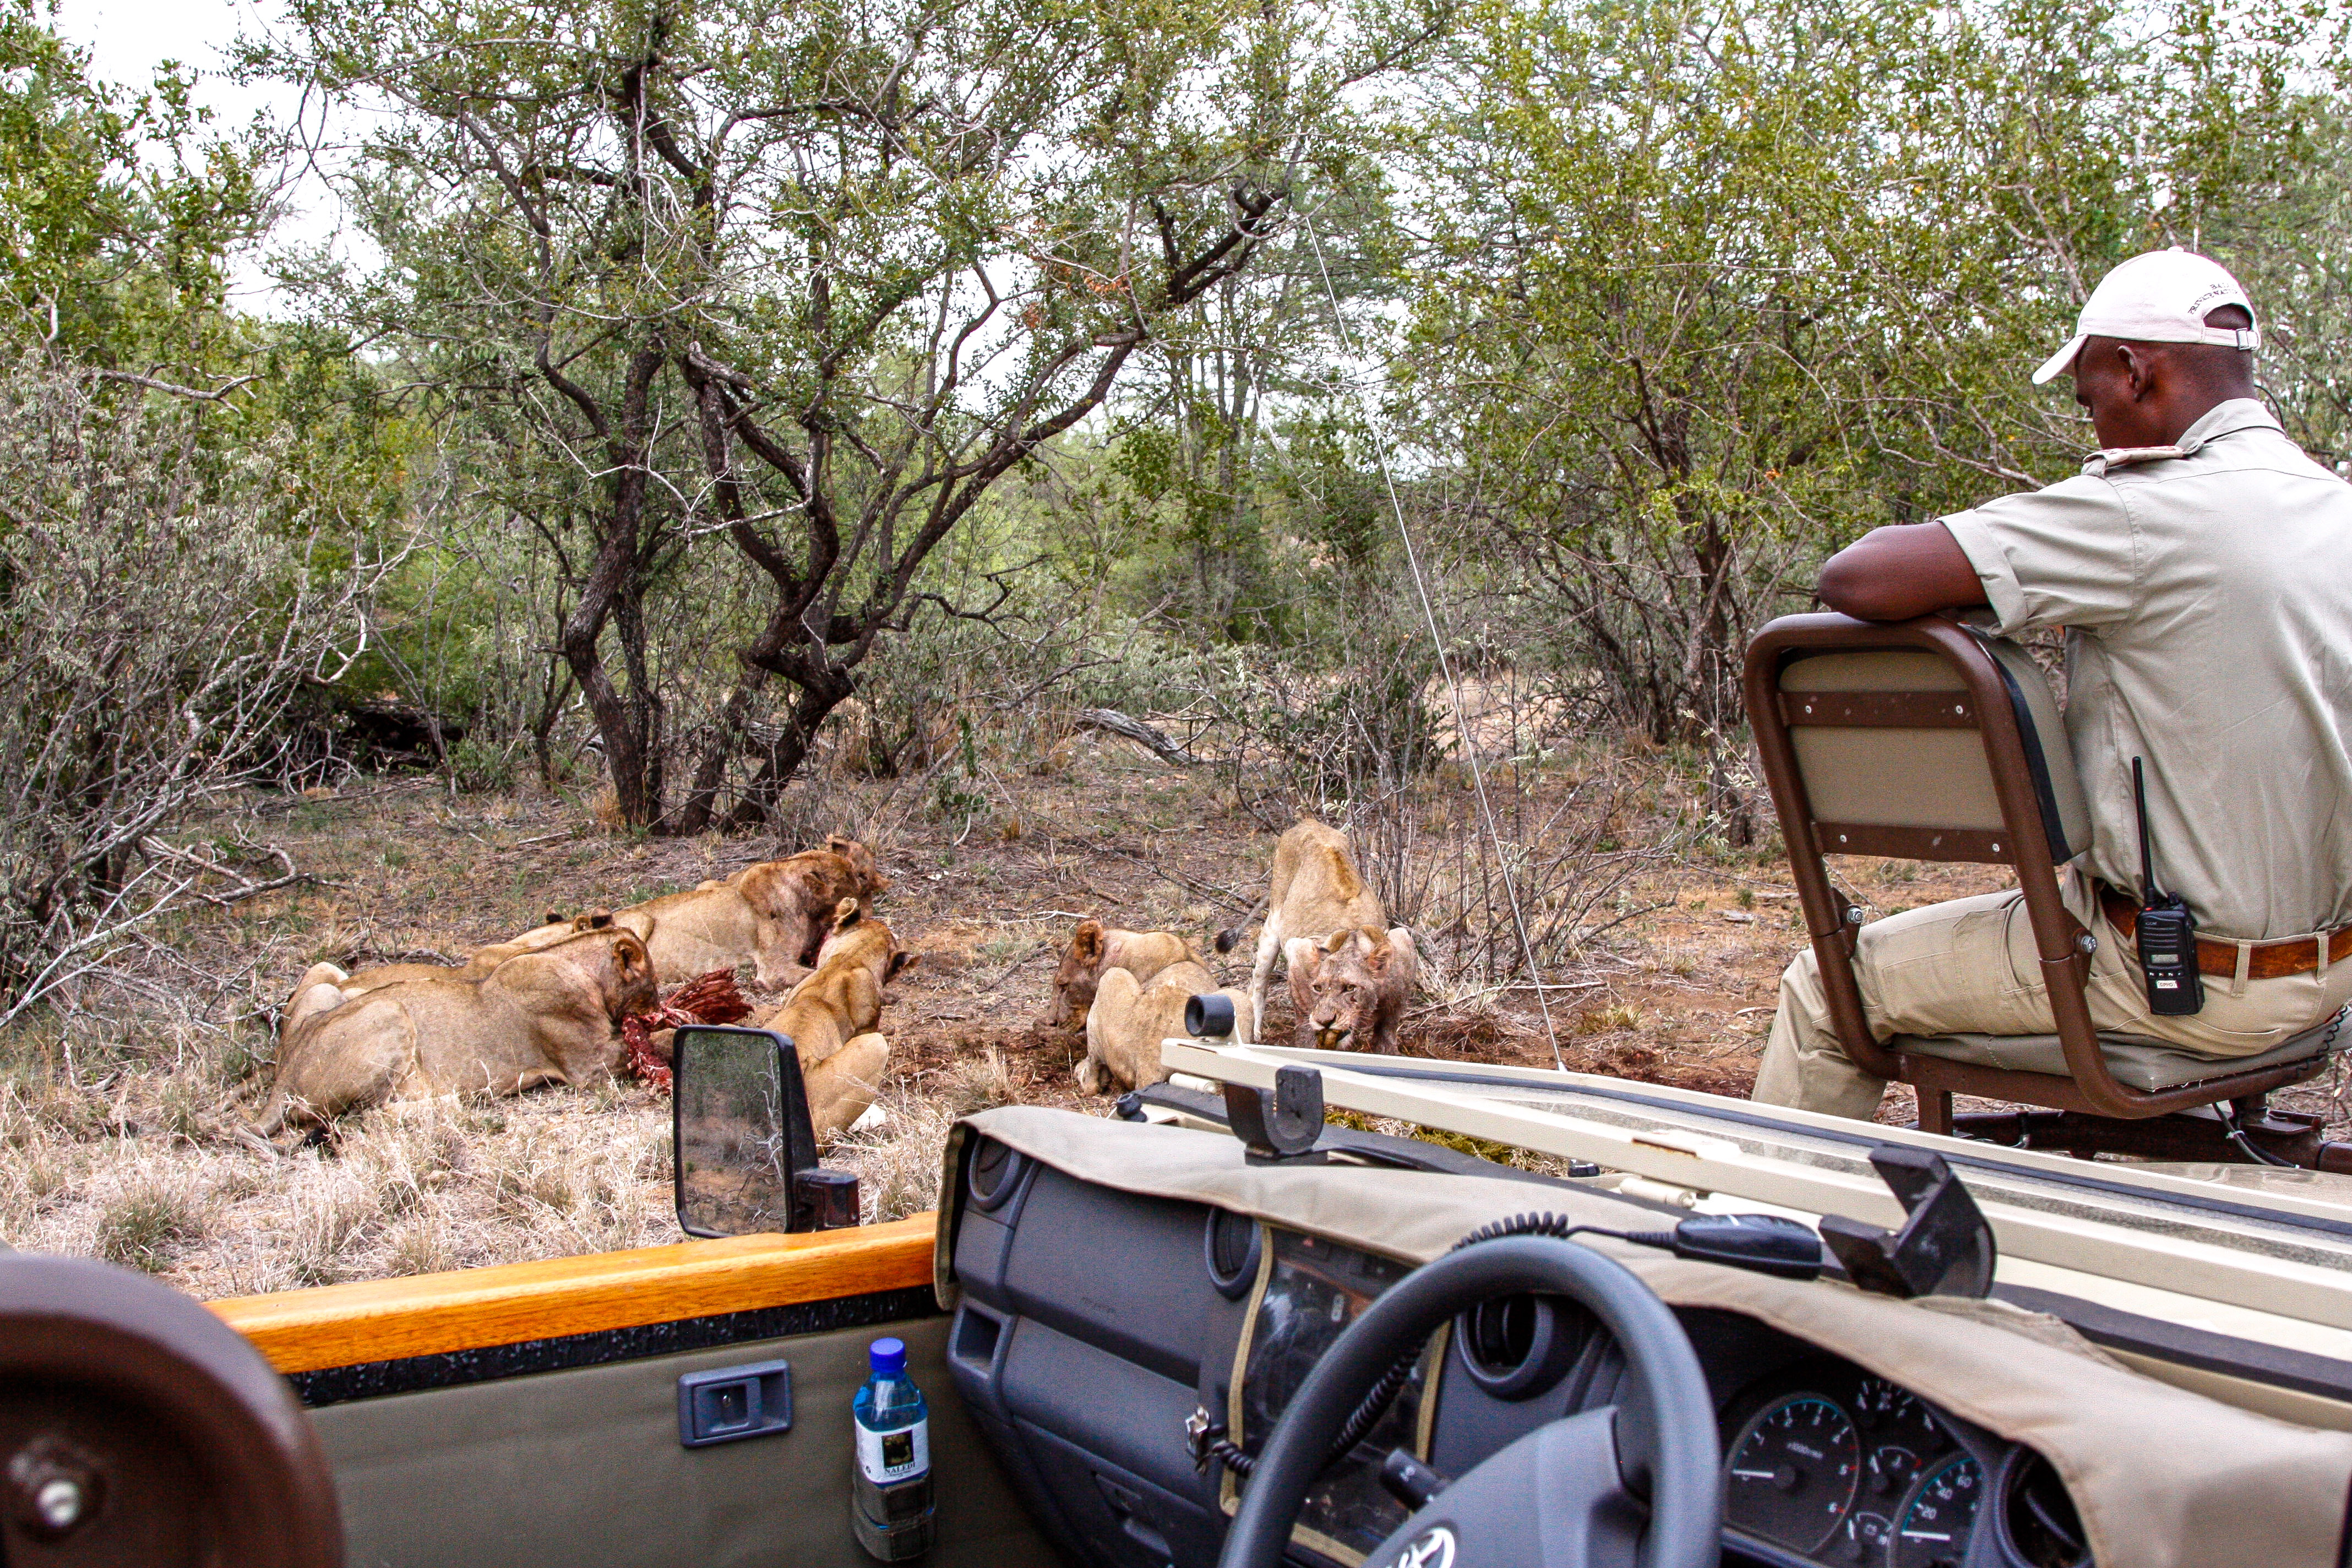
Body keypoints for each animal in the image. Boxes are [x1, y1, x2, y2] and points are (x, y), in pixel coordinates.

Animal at [257, 927, 660, 1133]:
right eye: (653, 986)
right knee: (367, 1116)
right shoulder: (590, 1066)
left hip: (333, 991)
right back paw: (458, 1100)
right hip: (389, 1010)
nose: (657, 1007)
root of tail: (284, 1072)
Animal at [1220, 818, 1386, 1042]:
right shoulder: (1298, 953)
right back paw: (1255, 1032)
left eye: (1352, 989)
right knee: (1259, 980)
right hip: (1275, 920)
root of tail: (1308, 822)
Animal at [1289, 925, 1418, 1054]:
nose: (1324, 1022)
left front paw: (1387, 1050)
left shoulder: (1403, 941)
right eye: (1318, 988)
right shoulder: (1297, 951)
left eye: (1350, 988)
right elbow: (1305, 1023)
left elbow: (1388, 1027)